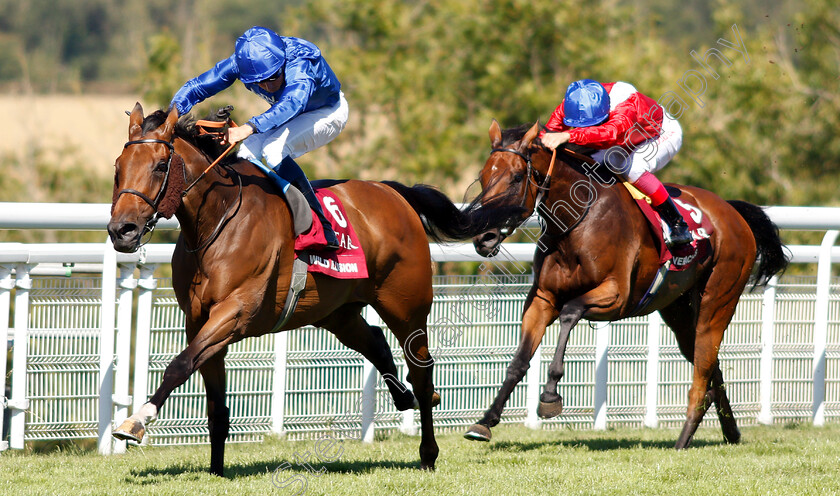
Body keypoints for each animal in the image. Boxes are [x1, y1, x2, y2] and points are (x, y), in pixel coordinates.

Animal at [106, 102, 486, 474]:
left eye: (160, 166)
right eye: (118, 168)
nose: (121, 230)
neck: (217, 220)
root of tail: (394, 192)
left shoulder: (235, 312)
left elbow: (179, 365)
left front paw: (135, 422)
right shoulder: (198, 320)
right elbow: (214, 404)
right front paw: (216, 469)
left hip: (406, 305)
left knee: (421, 371)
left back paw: (428, 451)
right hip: (337, 312)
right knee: (376, 342)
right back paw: (403, 397)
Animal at [466, 121, 788, 450]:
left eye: (517, 177)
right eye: (483, 177)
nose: (483, 237)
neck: (577, 221)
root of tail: (733, 212)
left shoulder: (616, 297)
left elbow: (570, 312)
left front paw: (550, 396)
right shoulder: (543, 298)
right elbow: (519, 360)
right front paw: (485, 421)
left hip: (718, 300)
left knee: (702, 368)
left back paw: (683, 439)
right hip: (679, 311)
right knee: (711, 364)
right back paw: (730, 432)